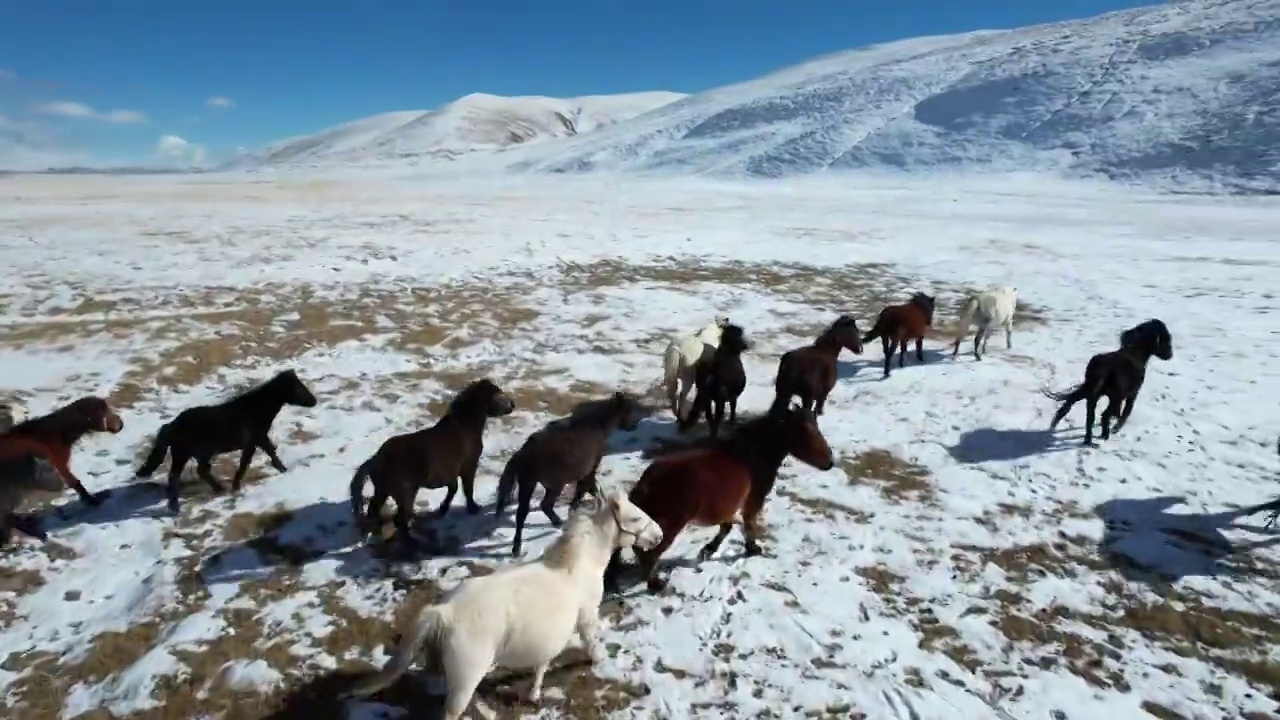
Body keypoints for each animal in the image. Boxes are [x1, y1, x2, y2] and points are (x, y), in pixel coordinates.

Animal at [337, 486, 660, 717]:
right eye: (634, 518)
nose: (658, 536)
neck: (575, 566)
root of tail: (443, 612)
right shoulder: (587, 616)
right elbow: (590, 643)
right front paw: (601, 661)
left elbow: (541, 665)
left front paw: (534, 694)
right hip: (466, 678)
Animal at [350, 379, 514, 550]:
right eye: (498, 393)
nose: (513, 405)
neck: (465, 425)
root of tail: (376, 458)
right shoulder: (469, 466)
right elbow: (467, 489)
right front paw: (473, 508)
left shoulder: (450, 471)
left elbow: (453, 489)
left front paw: (443, 509)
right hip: (406, 494)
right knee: (399, 520)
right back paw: (412, 542)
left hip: (382, 490)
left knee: (373, 511)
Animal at [491, 392, 645, 556]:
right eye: (629, 409)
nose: (635, 425)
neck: (599, 424)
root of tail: (522, 453)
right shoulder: (589, 470)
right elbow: (586, 490)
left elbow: (591, 489)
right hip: (552, 484)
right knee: (543, 505)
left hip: (528, 483)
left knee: (523, 513)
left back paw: (519, 545)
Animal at [601, 399, 834, 591]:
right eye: (804, 431)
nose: (830, 462)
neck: (754, 454)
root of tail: (647, 483)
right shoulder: (753, 500)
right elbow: (749, 525)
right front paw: (752, 549)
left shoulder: (728, 506)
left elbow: (726, 527)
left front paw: (708, 549)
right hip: (667, 526)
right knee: (648, 555)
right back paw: (656, 584)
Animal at [1044, 317, 1172, 443]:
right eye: (1167, 339)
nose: (1170, 355)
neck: (1135, 352)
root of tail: (1102, 368)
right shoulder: (1132, 394)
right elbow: (1126, 412)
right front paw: (1116, 427)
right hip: (1113, 396)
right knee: (1104, 415)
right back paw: (1104, 435)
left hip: (1090, 389)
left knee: (1079, 408)